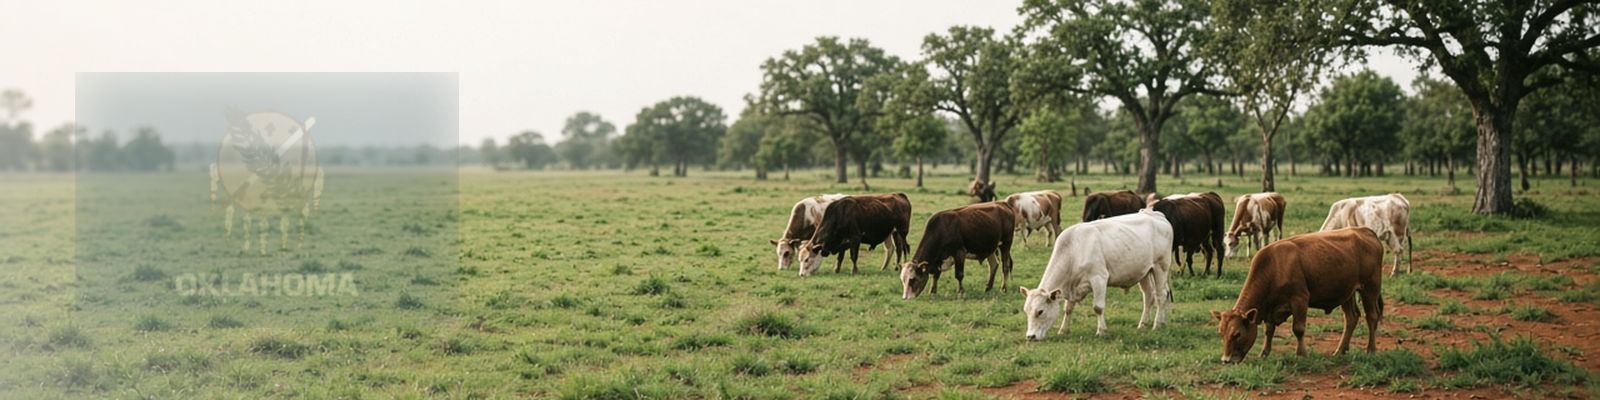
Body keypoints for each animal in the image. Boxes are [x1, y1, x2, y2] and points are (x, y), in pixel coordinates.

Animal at [1020, 210, 1173, 340]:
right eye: (1026, 311)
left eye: (1040, 311)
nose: (1030, 336)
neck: (1074, 249)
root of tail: (1155, 214)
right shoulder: (1072, 286)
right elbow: (1068, 309)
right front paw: (1063, 330)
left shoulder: (1099, 278)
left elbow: (1098, 308)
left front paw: (1101, 331)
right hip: (1144, 271)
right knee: (1148, 296)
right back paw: (1144, 324)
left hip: (1161, 266)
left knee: (1160, 295)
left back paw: (1157, 324)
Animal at [1211, 227, 1384, 363]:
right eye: (1221, 333)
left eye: (1237, 334)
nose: (1226, 360)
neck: (1275, 265)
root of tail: (1365, 231)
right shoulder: (1270, 308)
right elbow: (1269, 330)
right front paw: (1264, 353)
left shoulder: (1300, 300)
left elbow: (1298, 329)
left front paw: (1301, 354)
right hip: (1347, 292)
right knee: (1351, 318)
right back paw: (1340, 350)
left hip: (1370, 288)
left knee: (1372, 317)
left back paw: (1371, 350)